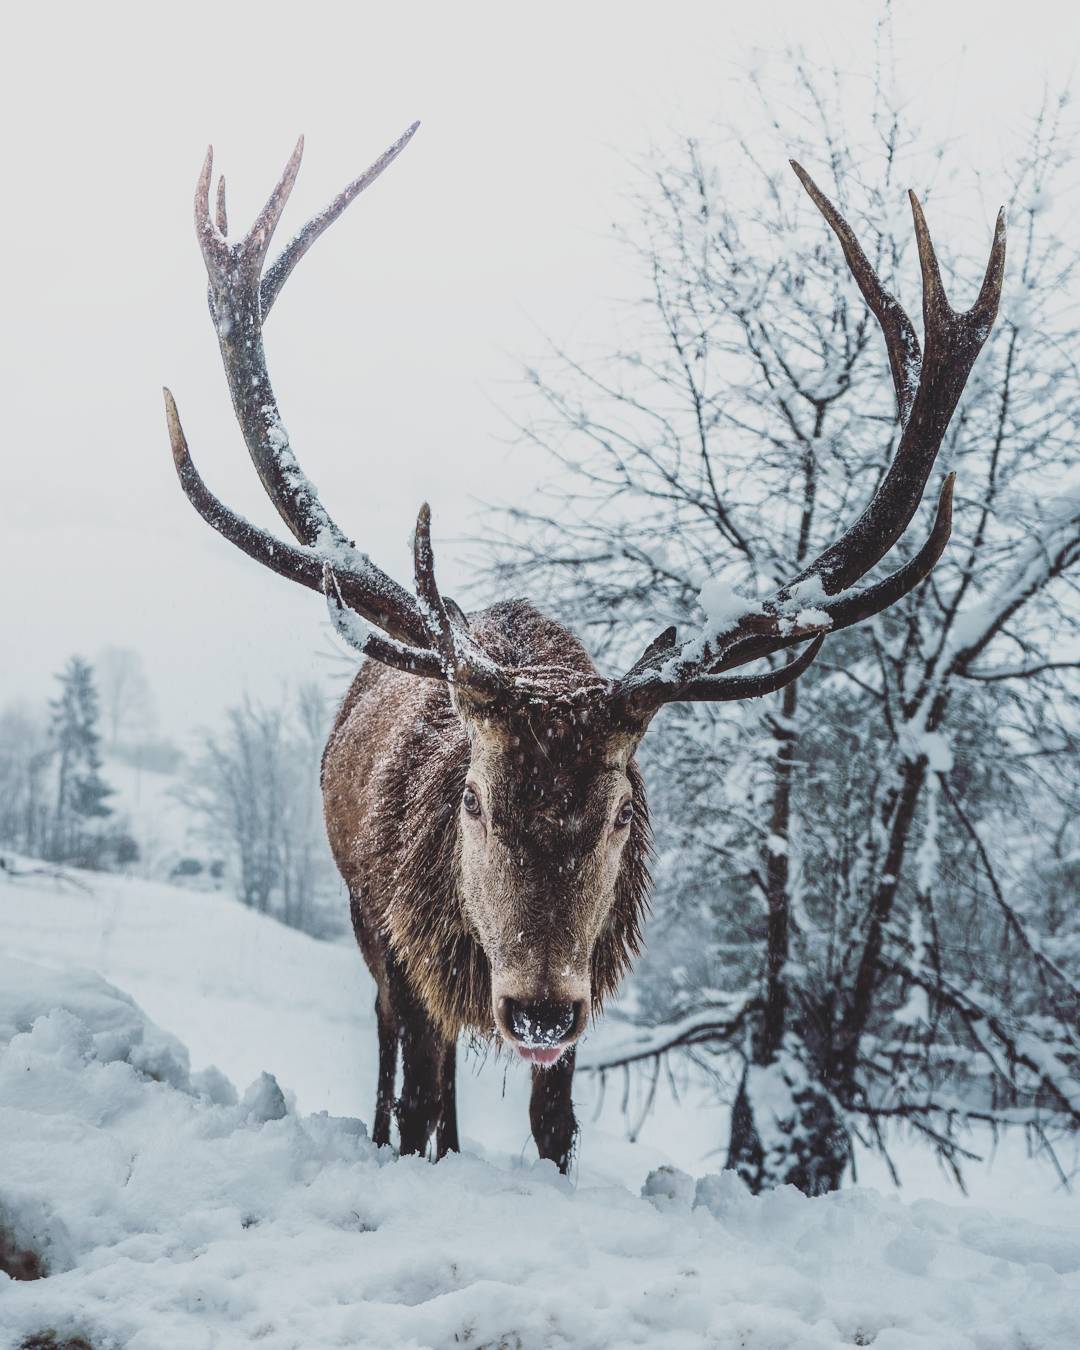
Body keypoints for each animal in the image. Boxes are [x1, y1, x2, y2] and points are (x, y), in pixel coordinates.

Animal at [162, 121, 1004, 1171]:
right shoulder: (409, 943)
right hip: (367, 924)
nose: (536, 1009)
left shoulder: (592, 974)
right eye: (473, 800)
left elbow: (553, 1127)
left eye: (618, 814)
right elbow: (416, 1088)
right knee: (399, 1057)